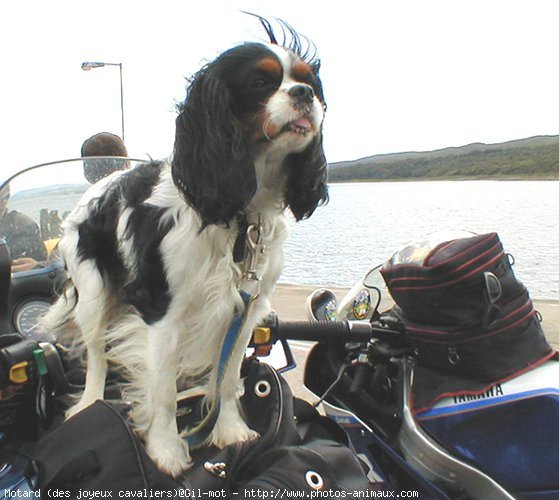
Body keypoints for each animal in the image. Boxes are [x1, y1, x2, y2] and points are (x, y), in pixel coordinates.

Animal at [43, 18, 328, 476]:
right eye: (260, 82)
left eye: (310, 83)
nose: (304, 95)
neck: (240, 213)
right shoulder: (163, 313)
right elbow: (159, 390)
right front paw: (165, 450)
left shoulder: (244, 308)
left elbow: (227, 377)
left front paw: (228, 430)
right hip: (93, 292)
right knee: (97, 355)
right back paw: (89, 404)